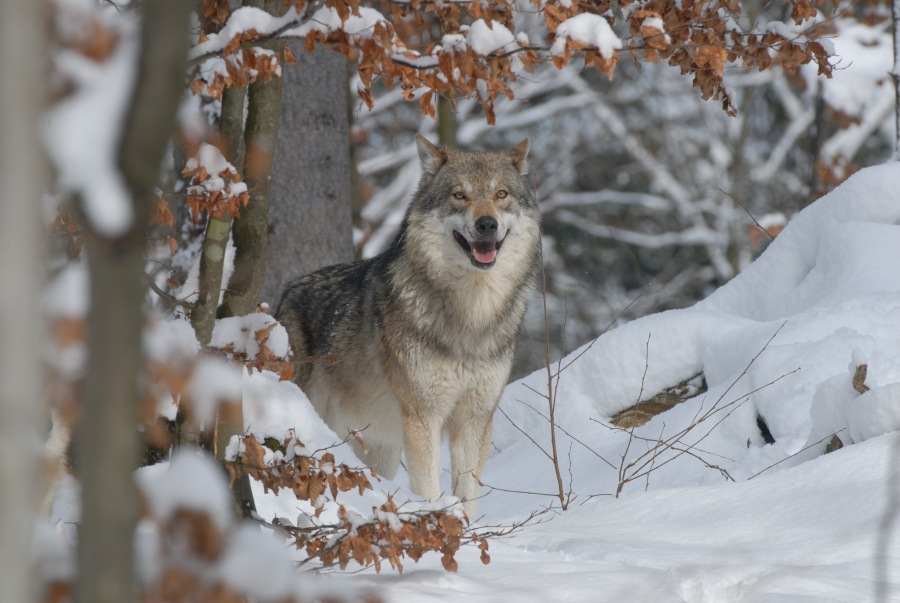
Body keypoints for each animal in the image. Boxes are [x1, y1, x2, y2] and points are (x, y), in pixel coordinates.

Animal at [276, 135, 541, 517]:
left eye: (501, 194)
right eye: (459, 195)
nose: (487, 224)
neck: (471, 315)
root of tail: (285, 295)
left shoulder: (475, 419)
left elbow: (468, 495)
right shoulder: (422, 417)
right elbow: (429, 489)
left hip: (380, 449)